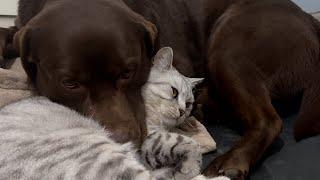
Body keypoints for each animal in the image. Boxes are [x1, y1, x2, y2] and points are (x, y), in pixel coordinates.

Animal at [0, 47, 228, 180]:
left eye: (189, 104)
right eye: (173, 92)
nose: (182, 111)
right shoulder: (149, 136)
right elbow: (189, 144)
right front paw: (190, 167)